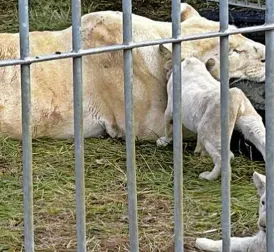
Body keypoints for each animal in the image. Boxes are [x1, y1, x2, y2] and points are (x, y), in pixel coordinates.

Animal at [156, 44, 266, 179]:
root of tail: (236, 96)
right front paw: (198, 151)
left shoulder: (170, 109)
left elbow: (168, 127)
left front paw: (163, 141)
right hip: (252, 125)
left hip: (208, 133)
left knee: (223, 159)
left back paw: (208, 176)